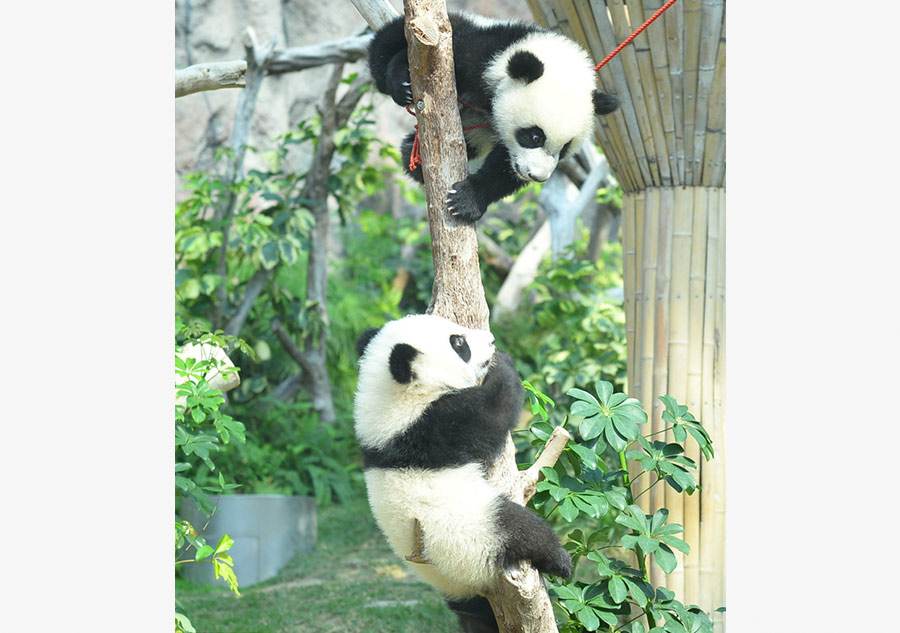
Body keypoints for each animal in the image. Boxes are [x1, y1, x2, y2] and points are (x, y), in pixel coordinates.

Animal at [354, 314, 572, 633]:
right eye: (459, 343)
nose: (491, 340)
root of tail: (468, 584)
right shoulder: (436, 424)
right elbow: (492, 412)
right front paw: (503, 362)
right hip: (476, 535)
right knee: (523, 530)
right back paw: (561, 561)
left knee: (475, 615)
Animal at [368, 11, 620, 223]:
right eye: (535, 137)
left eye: (566, 147)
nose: (537, 176)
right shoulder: (482, 54)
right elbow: (440, 56)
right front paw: (401, 79)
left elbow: (503, 170)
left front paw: (466, 200)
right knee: (394, 38)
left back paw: (413, 155)